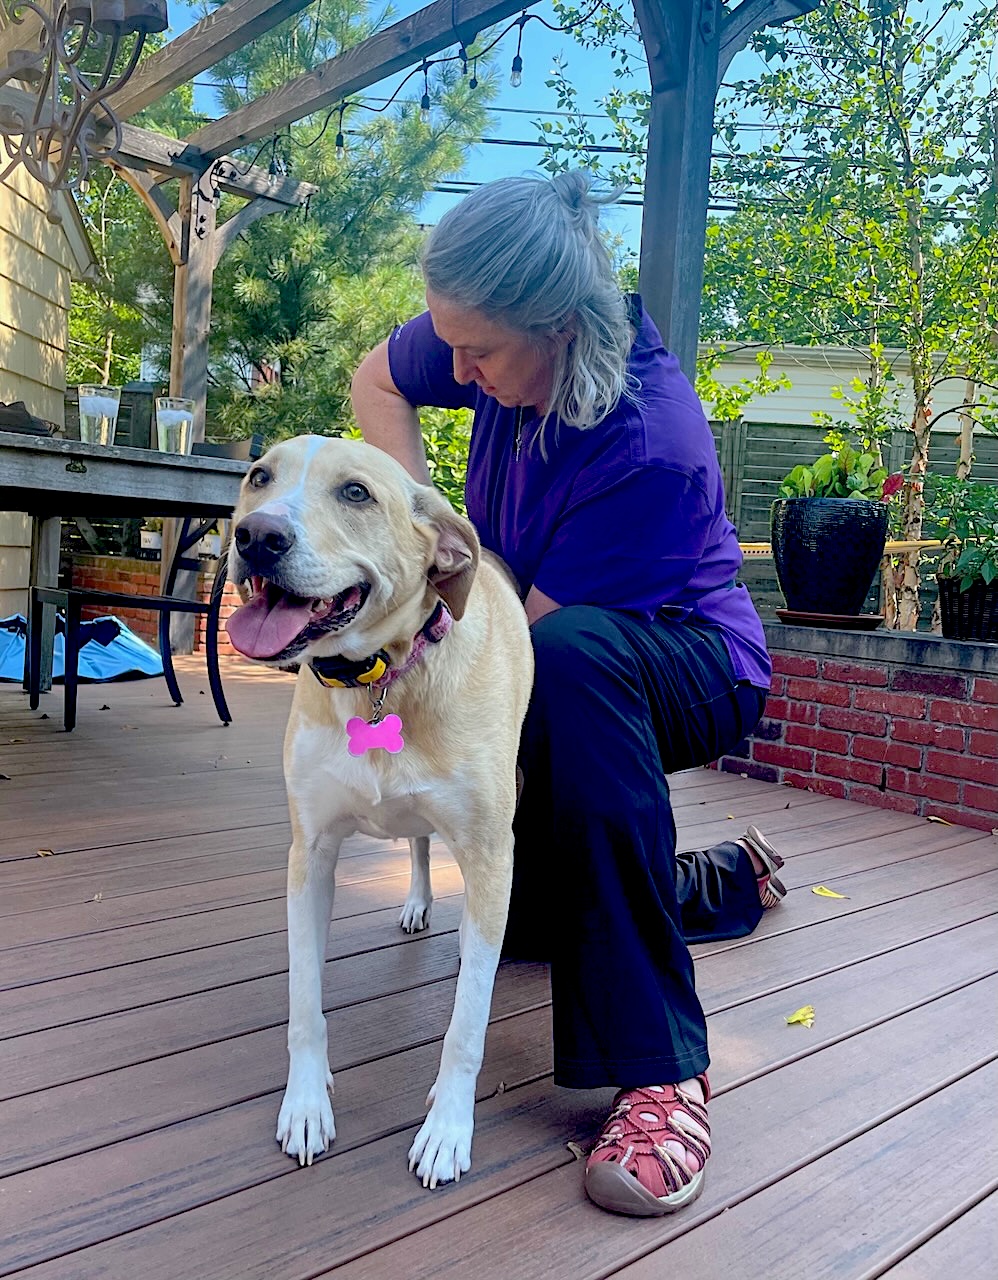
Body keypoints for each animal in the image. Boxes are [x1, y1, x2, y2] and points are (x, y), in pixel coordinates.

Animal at [225, 435, 534, 1182]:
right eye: (258, 477)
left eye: (356, 493)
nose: (257, 537)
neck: (379, 677)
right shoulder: (309, 857)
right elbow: (304, 1002)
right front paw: (306, 1104)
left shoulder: (491, 854)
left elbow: (467, 1027)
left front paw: (448, 1127)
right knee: (419, 845)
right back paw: (419, 902)